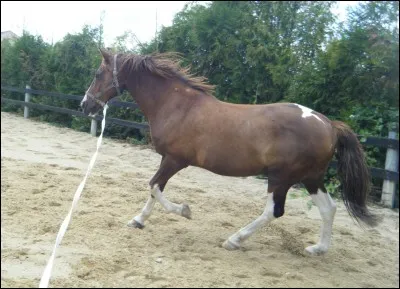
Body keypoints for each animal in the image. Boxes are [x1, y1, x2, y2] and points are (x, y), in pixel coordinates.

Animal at [79, 48, 376, 255]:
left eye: (97, 74)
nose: (85, 105)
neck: (176, 105)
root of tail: (328, 124)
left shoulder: (175, 160)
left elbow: (153, 185)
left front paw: (184, 211)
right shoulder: (167, 159)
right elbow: (155, 188)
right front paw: (138, 220)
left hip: (282, 177)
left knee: (273, 211)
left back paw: (234, 240)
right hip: (310, 177)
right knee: (329, 208)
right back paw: (318, 248)